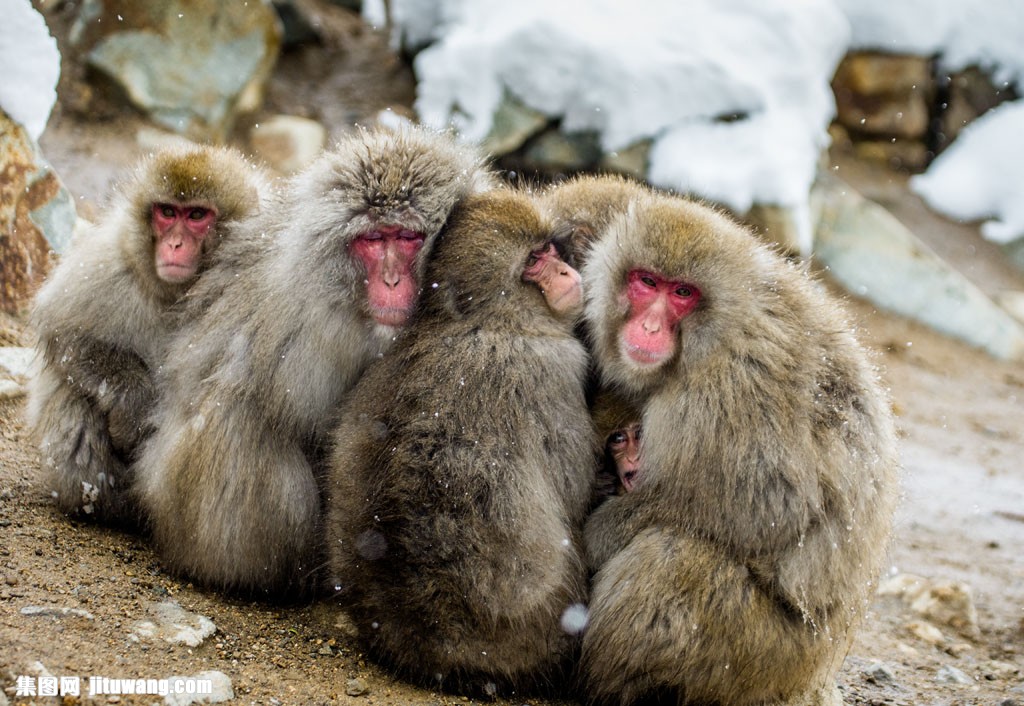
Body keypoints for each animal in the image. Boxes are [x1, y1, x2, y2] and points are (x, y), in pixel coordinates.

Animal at [27, 144, 272, 522]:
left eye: (197, 215)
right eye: (167, 212)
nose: (174, 245)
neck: (176, 294)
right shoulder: (110, 262)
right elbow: (63, 332)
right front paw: (134, 405)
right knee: (73, 393)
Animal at [325, 188, 598, 692]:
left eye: (549, 250)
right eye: (534, 261)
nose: (566, 273)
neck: (483, 322)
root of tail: (426, 644)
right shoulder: (550, 369)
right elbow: (575, 489)